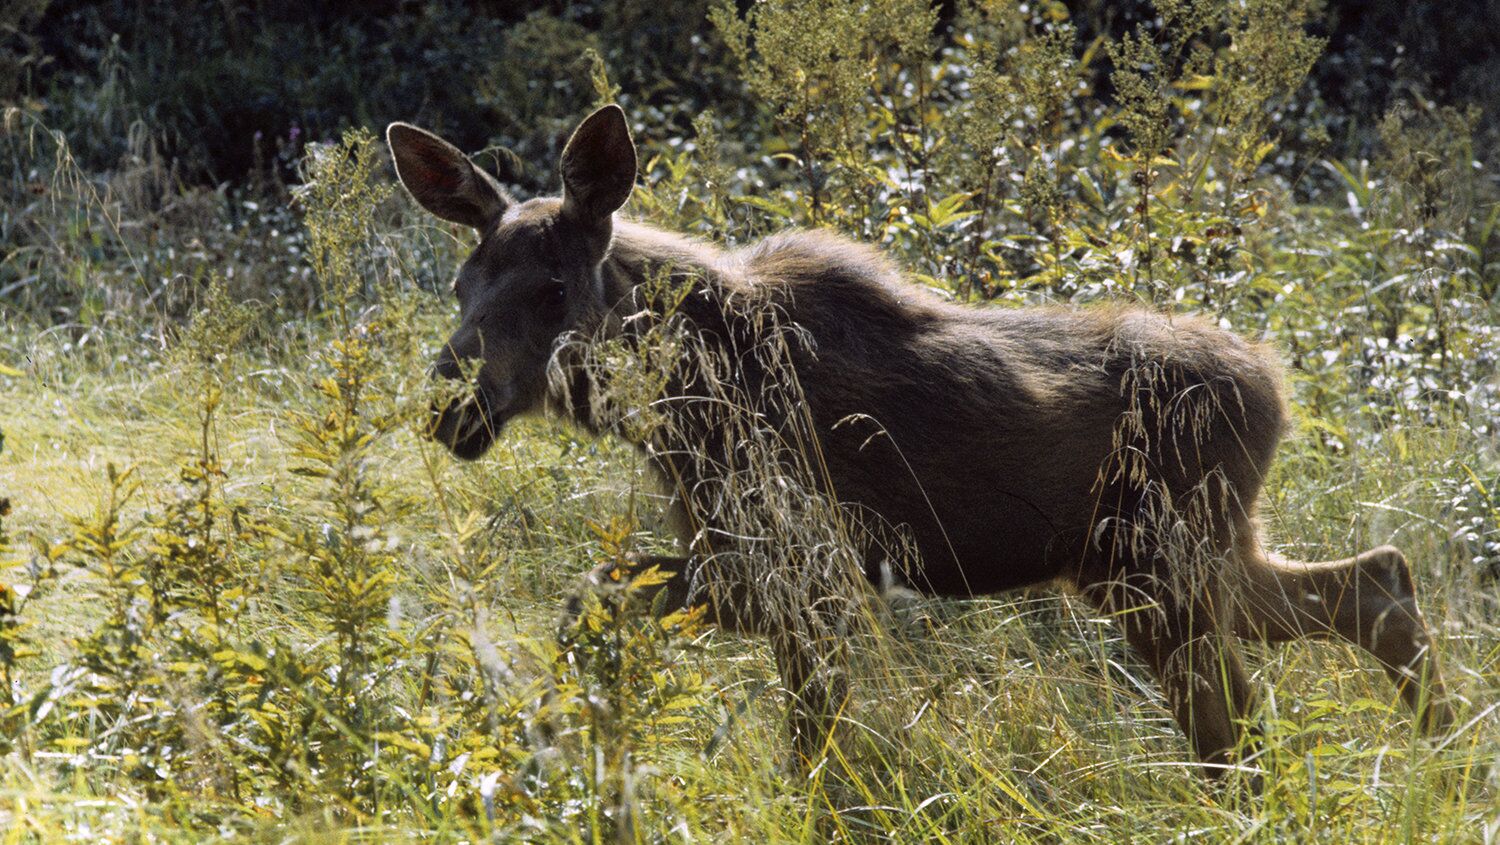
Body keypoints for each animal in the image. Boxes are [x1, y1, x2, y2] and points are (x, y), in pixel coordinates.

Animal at [387, 107, 1452, 786]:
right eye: (462, 284)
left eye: (551, 289)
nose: (449, 403)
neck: (672, 400)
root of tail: (1275, 387)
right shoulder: (741, 553)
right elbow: (592, 600)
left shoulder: (801, 564)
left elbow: (805, 729)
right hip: (1163, 559)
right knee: (1375, 581)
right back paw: (1447, 752)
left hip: (1162, 562)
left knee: (1247, 709)